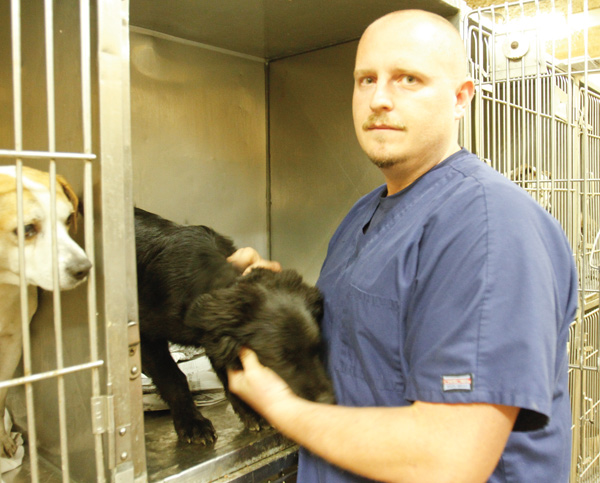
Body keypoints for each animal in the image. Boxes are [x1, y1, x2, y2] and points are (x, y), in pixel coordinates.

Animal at [134, 208, 336, 446]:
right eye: (282, 360)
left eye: (316, 348)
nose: (328, 401)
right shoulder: (145, 335)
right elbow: (173, 378)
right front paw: (192, 423)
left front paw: (250, 411)